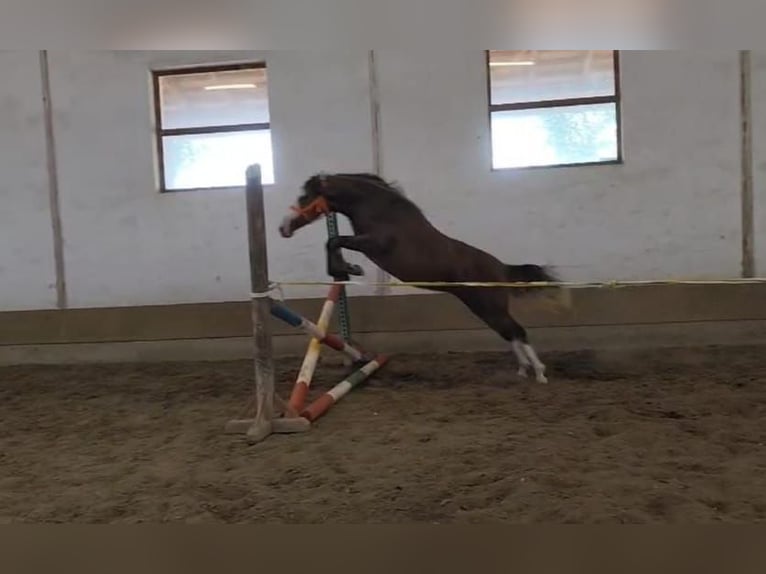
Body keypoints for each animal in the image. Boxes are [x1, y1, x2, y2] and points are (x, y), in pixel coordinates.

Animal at [278, 172, 571, 383]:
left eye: (305, 197)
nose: (283, 228)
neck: (380, 210)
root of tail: (501, 268)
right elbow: (333, 242)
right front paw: (345, 269)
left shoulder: (373, 244)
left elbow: (333, 241)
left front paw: (349, 268)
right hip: (484, 309)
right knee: (511, 334)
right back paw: (523, 370)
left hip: (488, 306)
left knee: (517, 332)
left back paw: (540, 373)